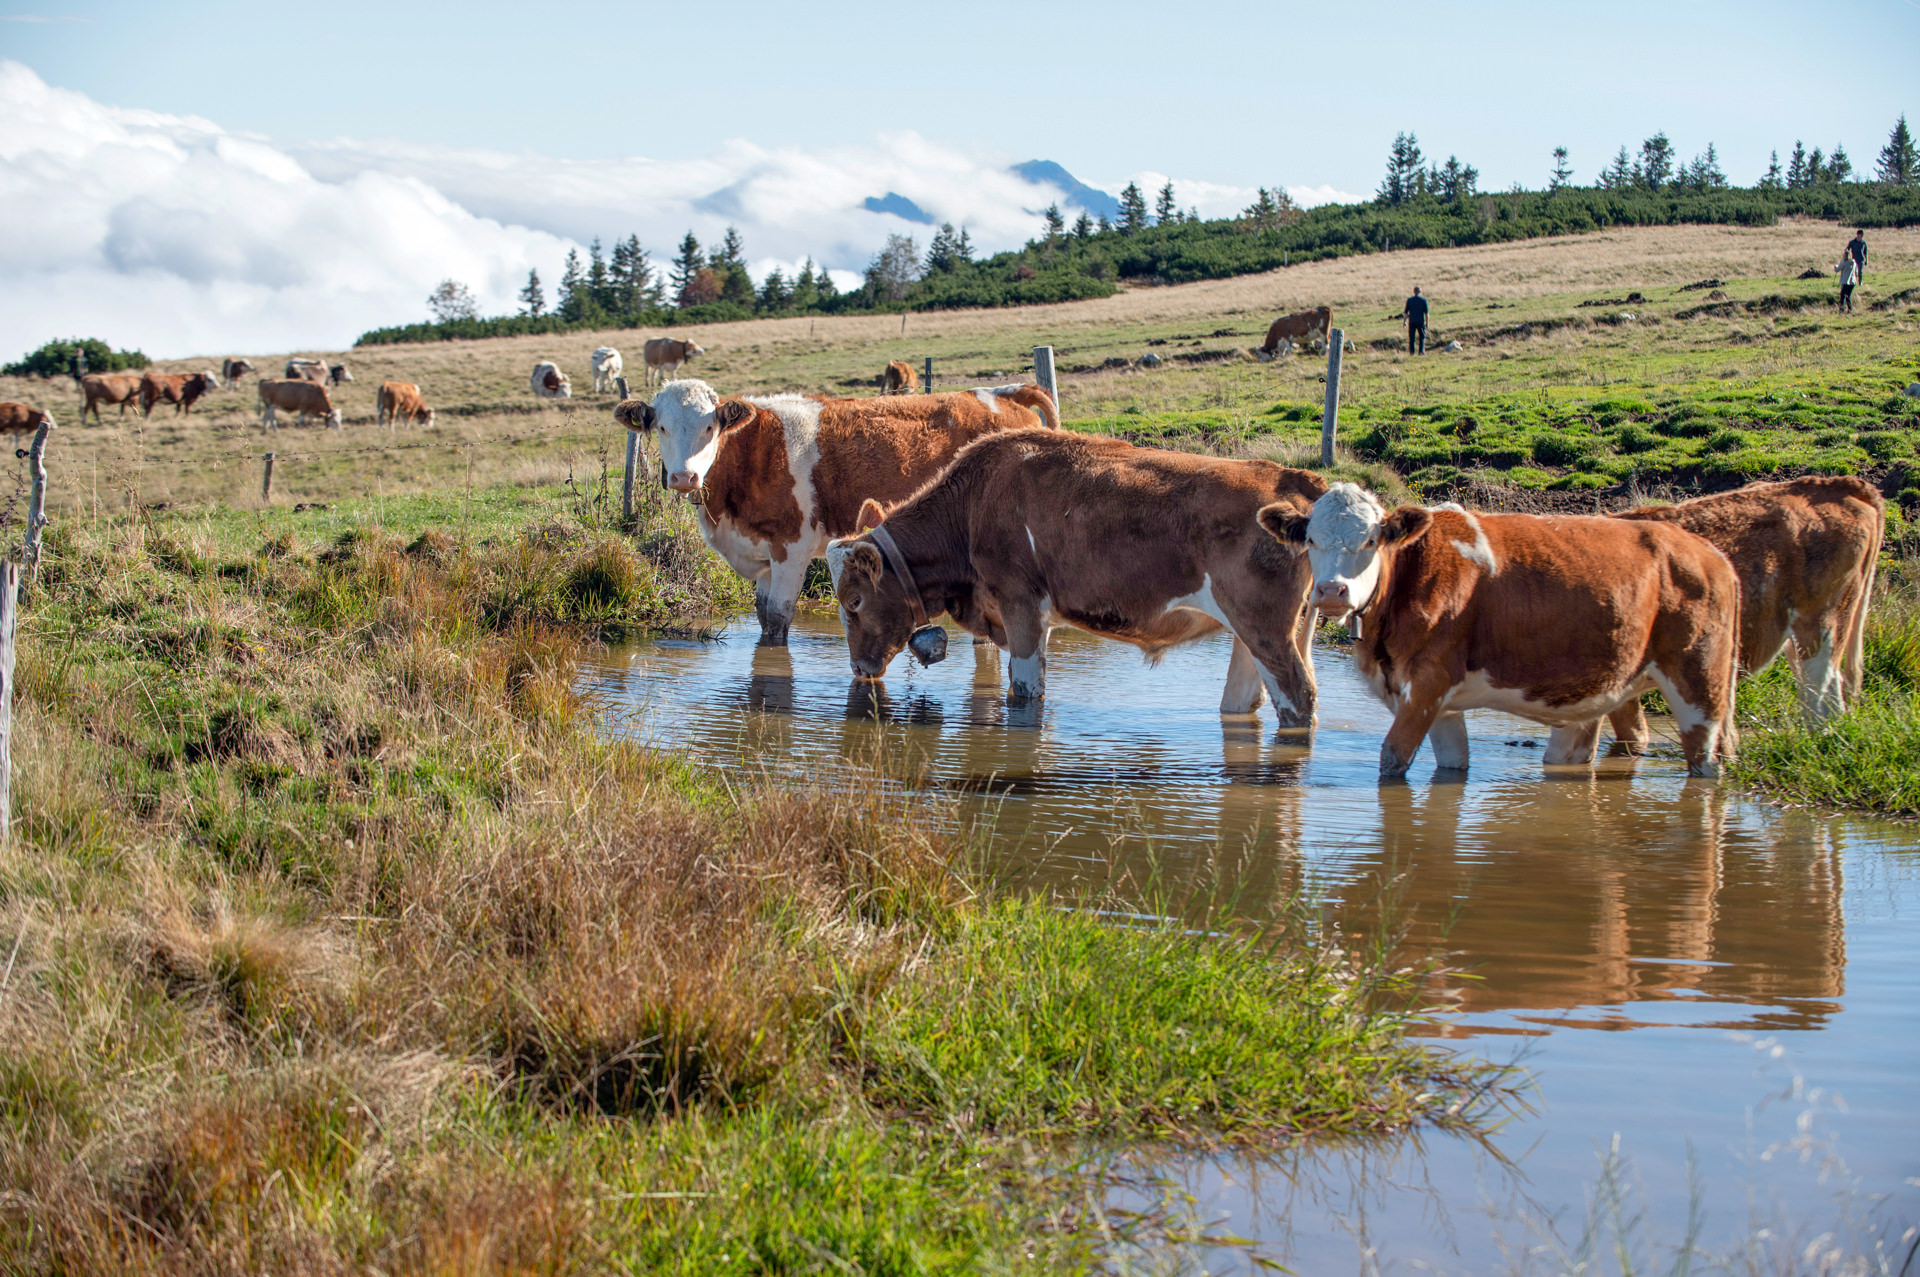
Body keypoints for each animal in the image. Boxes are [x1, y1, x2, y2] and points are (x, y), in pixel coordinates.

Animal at [616, 380, 1060, 645]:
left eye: (709, 428)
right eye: (661, 428)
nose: (684, 476)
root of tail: (1003, 392)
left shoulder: (791, 547)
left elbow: (778, 619)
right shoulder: (762, 555)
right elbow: (763, 617)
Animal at [824, 429, 1329, 727]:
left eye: (853, 601)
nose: (858, 668)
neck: (970, 506)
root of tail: (1290, 478)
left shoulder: (1021, 603)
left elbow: (1026, 691)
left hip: (1266, 630)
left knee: (1298, 699)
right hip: (1254, 633)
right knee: (1244, 703)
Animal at [1257, 484, 1739, 778]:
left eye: (1370, 541)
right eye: (1312, 540)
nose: (1331, 591)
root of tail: (1704, 550)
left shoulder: (1427, 684)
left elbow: (1391, 760)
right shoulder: (1442, 706)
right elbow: (1451, 768)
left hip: (1701, 686)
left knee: (1705, 763)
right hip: (1593, 693)